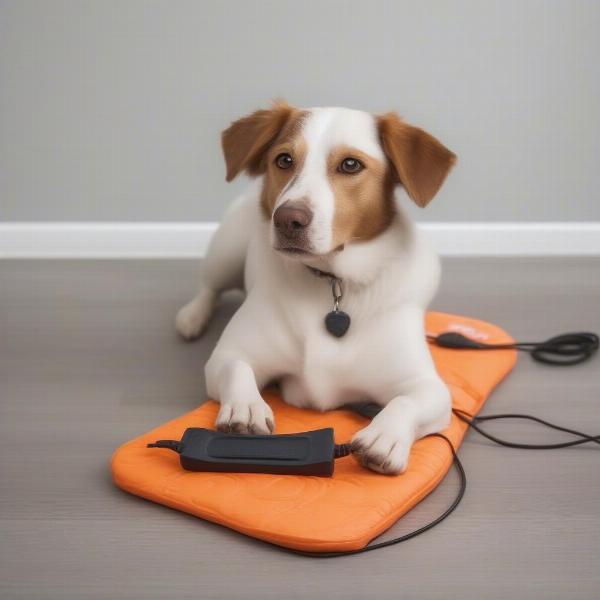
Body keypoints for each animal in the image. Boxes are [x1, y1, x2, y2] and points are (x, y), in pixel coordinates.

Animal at [176, 101, 458, 474]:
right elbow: (237, 368)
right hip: (227, 250)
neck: (332, 282)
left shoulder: (427, 385)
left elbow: (407, 402)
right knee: (209, 287)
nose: (287, 219)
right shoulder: (230, 354)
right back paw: (192, 317)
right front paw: (246, 407)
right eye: (283, 160)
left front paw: (385, 436)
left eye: (351, 164)